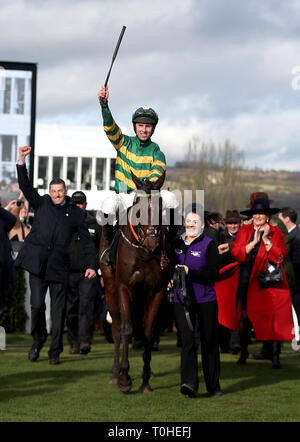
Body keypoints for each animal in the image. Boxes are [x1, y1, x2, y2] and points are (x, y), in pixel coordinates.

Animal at [99, 173, 173, 394]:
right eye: (138, 209)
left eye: (160, 207)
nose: (152, 243)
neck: (143, 253)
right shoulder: (124, 287)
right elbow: (126, 329)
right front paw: (125, 378)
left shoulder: (157, 291)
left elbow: (148, 332)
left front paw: (145, 380)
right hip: (110, 288)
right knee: (116, 328)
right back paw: (115, 373)